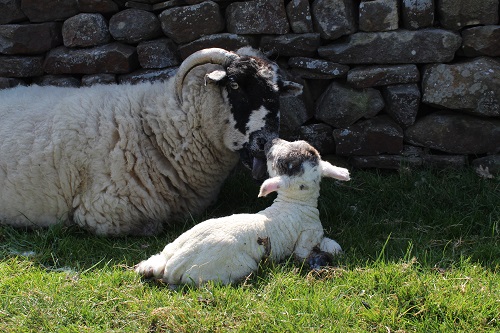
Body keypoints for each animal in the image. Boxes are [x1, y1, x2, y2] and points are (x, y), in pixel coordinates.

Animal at [0, 46, 300, 235]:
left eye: (278, 91)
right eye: (235, 84)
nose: (265, 141)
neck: (154, 126)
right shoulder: (102, 211)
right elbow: (153, 226)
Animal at [135, 138, 350, 286]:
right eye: (278, 160)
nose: (270, 141)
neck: (296, 203)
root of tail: (173, 265)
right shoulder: (307, 238)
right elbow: (317, 250)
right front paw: (332, 249)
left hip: (173, 245)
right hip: (235, 267)